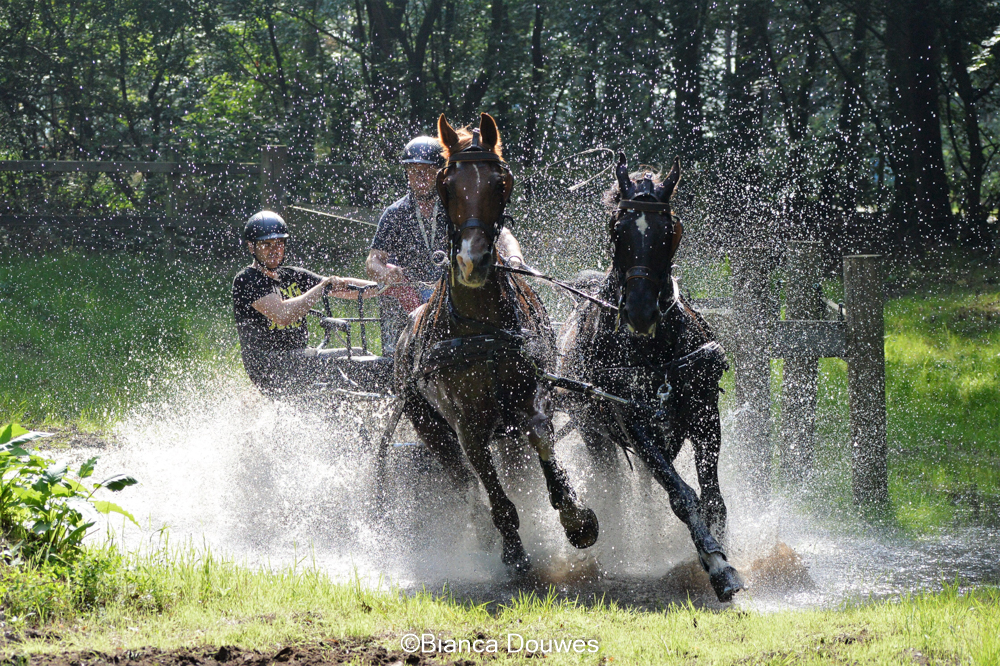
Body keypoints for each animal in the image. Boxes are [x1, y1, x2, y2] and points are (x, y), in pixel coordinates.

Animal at [392, 114, 596, 572]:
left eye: (500, 182)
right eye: (446, 184)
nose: (472, 261)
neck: (481, 329)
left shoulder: (532, 394)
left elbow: (542, 436)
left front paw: (575, 517)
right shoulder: (466, 425)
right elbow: (488, 484)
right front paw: (512, 547)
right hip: (431, 430)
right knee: (463, 480)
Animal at [564, 153, 744, 600]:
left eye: (668, 232)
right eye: (617, 230)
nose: (641, 312)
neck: (655, 352)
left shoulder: (704, 416)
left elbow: (713, 498)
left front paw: (722, 553)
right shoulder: (633, 423)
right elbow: (682, 496)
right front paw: (716, 565)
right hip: (593, 433)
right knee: (617, 485)